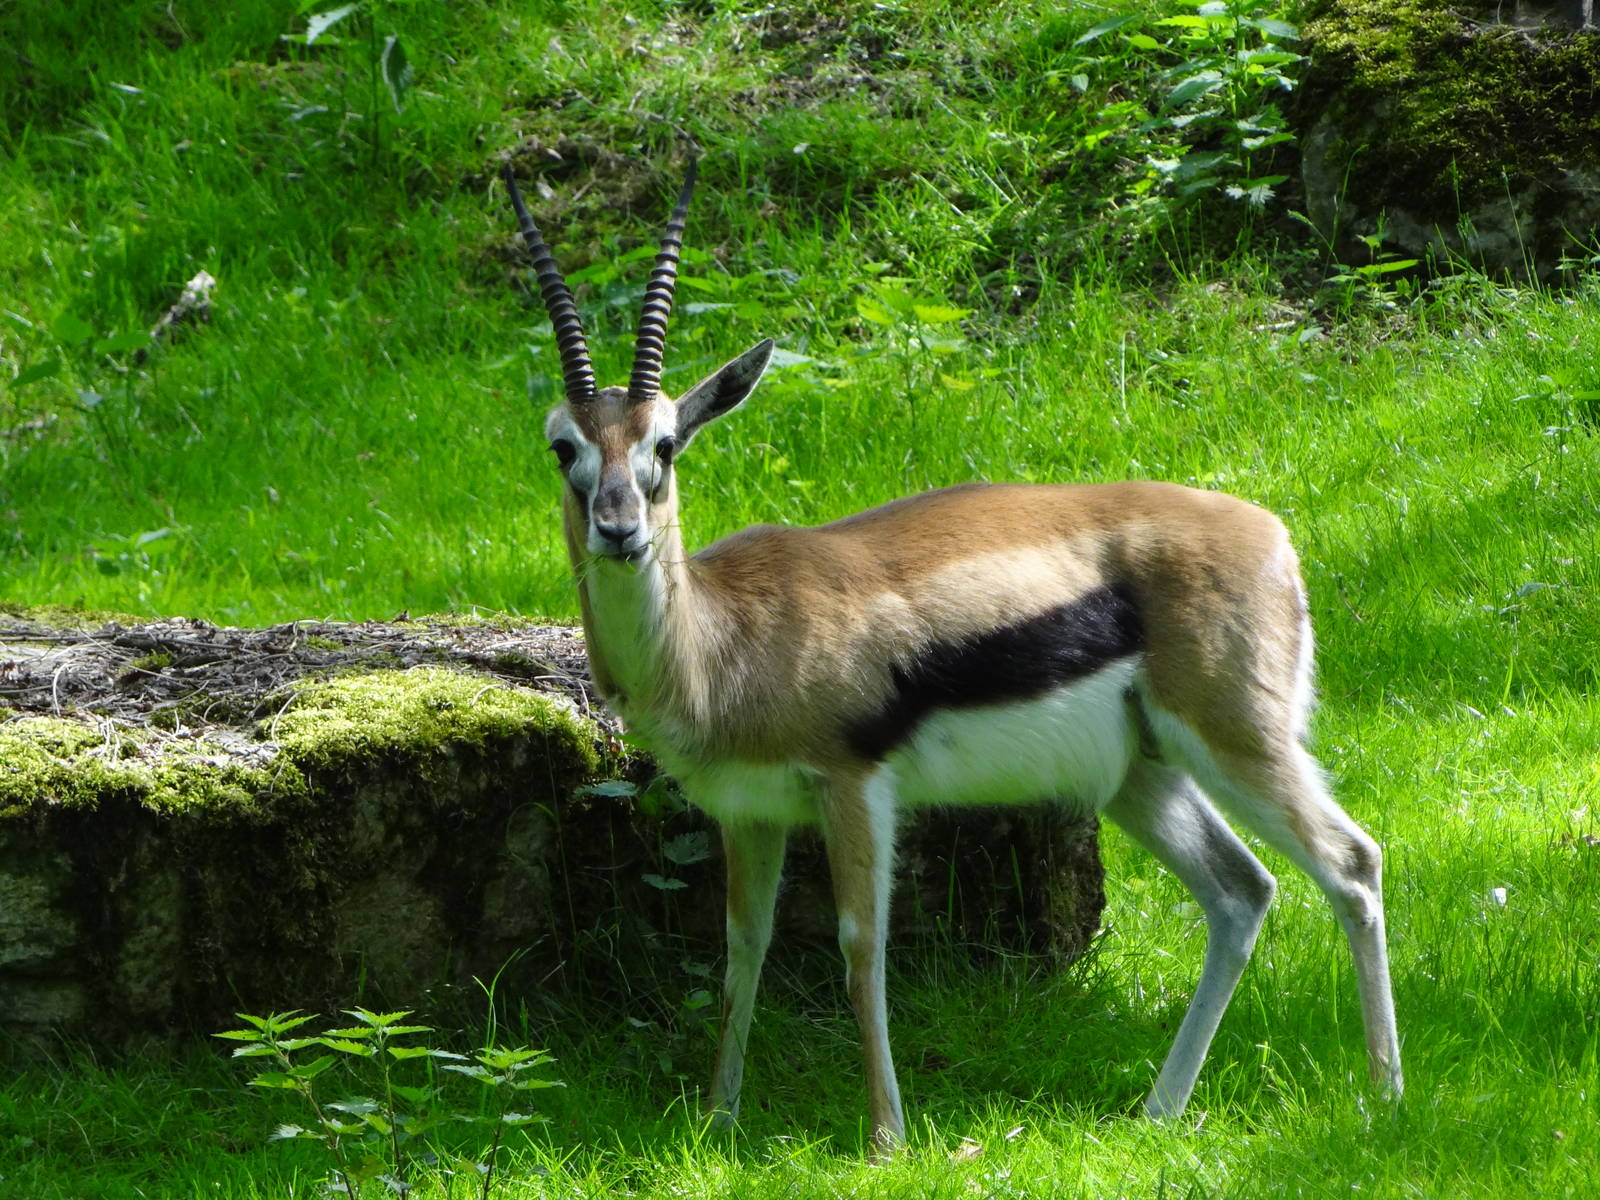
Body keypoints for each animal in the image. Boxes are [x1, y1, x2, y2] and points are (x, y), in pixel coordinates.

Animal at [501, 159, 1402, 1151]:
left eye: (665, 443)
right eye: (564, 448)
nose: (619, 527)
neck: (721, 639)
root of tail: (1271, 533)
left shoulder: (854, 787)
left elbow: (861, 943)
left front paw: (886, 1138)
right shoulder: (750, 811)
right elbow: (743, 947)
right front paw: (717, 1119)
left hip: (1236, 740)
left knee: (1352, 865)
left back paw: (1384, 1097)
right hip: (1138, 775)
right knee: (1242, 890)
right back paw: (1161, 1109)